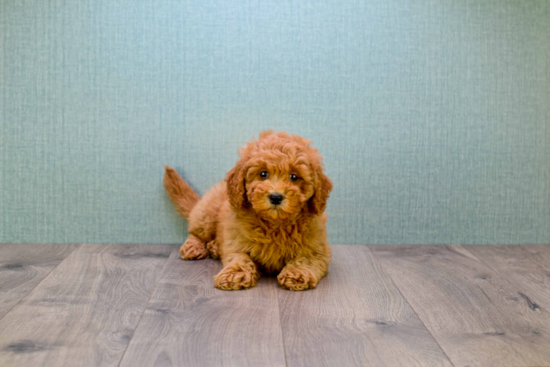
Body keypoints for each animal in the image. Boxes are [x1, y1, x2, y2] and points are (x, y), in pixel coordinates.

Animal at [162, 131, 334, 292]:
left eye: (294, 177)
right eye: (263, 174)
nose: (276, 197)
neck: (275, 225)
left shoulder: (317, 248)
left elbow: (306, 259)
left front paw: (297, 273)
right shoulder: (237, 241)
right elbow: (239, 258)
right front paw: (234, 274)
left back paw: (215, 247)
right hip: (207, 214)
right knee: (196, 231)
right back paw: (194, 247)